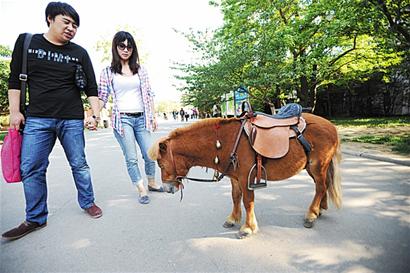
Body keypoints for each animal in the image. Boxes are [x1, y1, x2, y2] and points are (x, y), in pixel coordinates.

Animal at [149, 113, 342, 237]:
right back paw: (320, 209)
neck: (225, 140)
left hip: (318, 166)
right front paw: (233, 218)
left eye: (160, 164)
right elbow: (235, 197)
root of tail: (331, 126)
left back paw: (311, 214)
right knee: (322, 186)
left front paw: (248, 227)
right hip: (311, 168)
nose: (167, 188)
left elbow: (248, 201)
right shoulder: (234, 178)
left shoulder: (245, 178)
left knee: (320, 187)